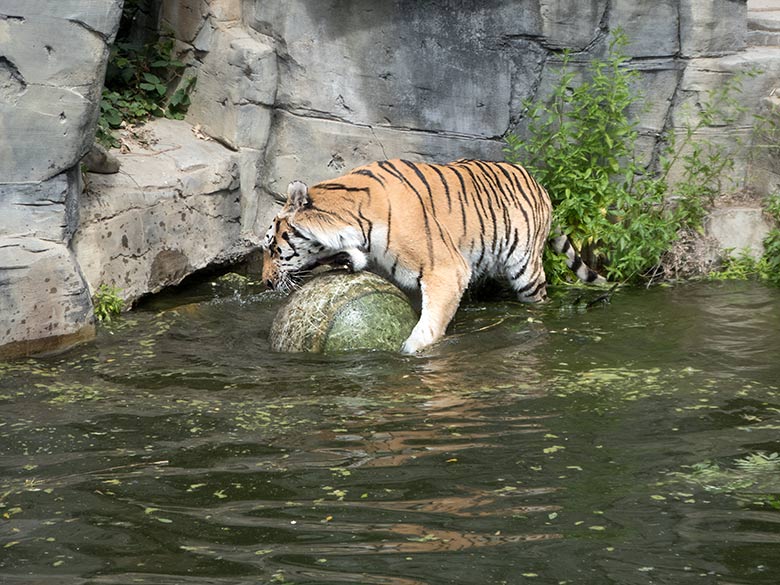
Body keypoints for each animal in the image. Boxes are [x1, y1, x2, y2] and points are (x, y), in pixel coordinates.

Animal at [260, 157, 604, 354]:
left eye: (272, 247)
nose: (265, 282)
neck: (356, 220)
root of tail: (538, 183)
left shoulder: (447, 269)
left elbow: (432, 319)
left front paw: (412, 348)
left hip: (527, 272)